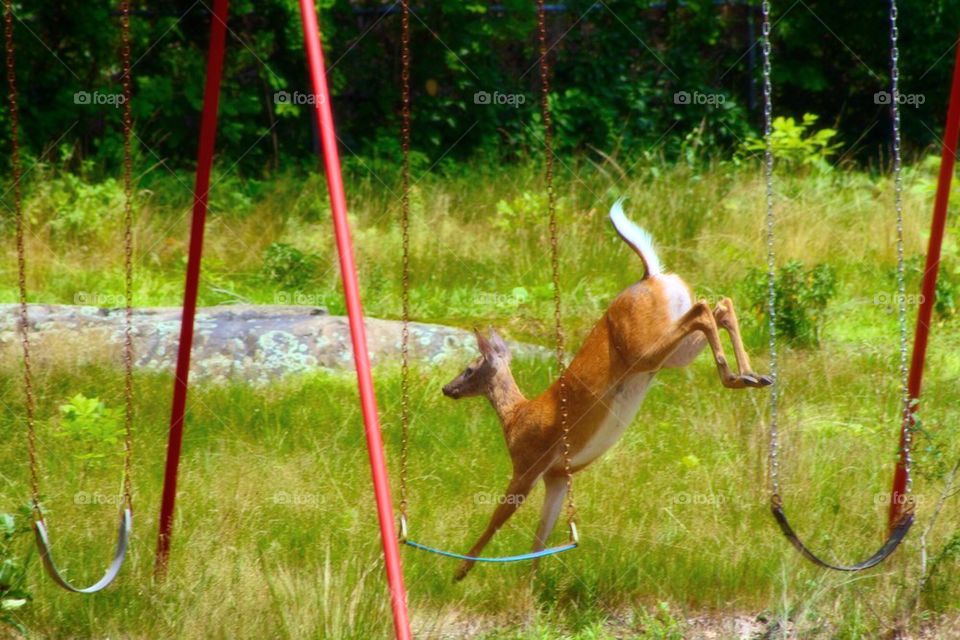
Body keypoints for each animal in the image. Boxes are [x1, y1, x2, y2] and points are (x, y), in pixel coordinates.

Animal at [441, 199, 772, 581]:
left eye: (469, 368)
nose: (446, 388)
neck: (516, 416)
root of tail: (650, 276)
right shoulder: (558, 475)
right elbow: (540, 539)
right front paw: (530, 585)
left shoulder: (528, 464)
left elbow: (496, 520)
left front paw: (460, 571)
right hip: (674, 352)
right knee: (720, 305)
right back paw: (752, 375)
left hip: (643, 348)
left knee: (704, 308)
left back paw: (736, 375)